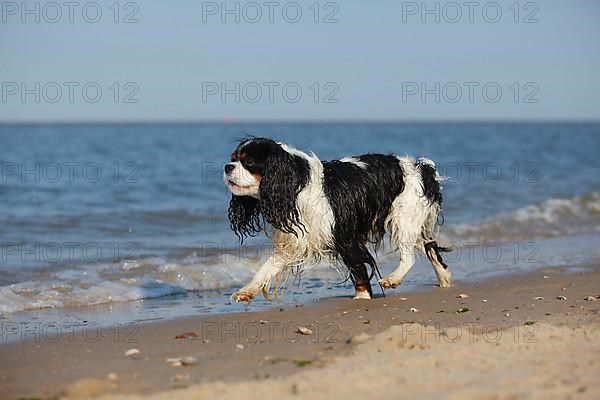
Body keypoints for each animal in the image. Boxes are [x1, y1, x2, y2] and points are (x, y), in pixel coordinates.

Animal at [224, 138, 450, 304]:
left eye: (248, 162)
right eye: (233, 158)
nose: (227, 166)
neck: (296, 185)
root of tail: (422, 168)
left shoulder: (345, 237)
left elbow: (358, 269)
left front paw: (362, 297)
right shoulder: (295, 240)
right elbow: (268, 266)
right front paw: (247, 291)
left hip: (404, 219)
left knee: (410, 256)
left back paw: (393, 279)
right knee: (430, 247)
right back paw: (445, 279)